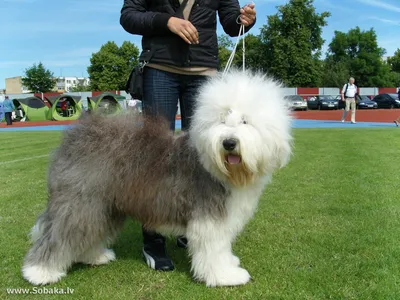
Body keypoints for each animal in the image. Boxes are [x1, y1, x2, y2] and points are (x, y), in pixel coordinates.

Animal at [21, 71, 292, 288]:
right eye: (222, 120)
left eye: (245, 121)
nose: (228, 143)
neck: (221, 170)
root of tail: (76, 135)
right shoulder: (209, 218)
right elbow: (214, 250)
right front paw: (225, 276)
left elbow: (222, 248)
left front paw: (230, 265)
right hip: (81, 200)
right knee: (60, 234)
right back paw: (39, 272)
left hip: (104, 205)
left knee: (88, 231)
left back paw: (94, 257)